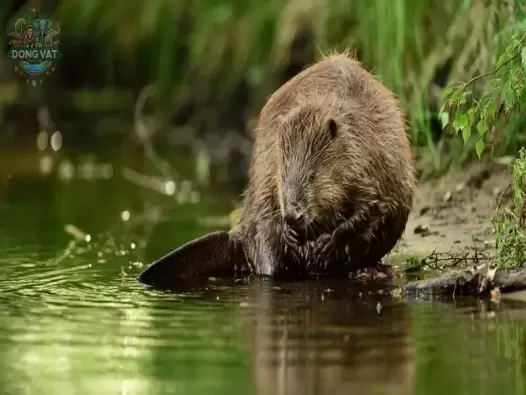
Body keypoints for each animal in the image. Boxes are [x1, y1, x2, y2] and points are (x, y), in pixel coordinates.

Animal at [138, 50, 418, 288]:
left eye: (312, 176)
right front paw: (294, 237)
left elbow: (373, 207)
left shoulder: (373, 156)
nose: (293, 216)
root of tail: (235, 237)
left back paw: (372, 270)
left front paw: (326, 243)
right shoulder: (271, 161)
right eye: (284, 176)